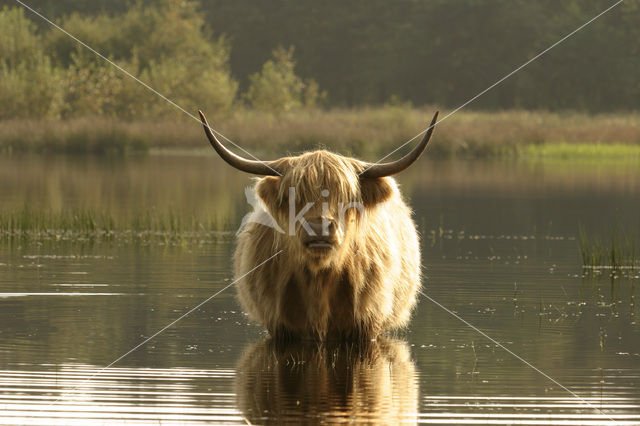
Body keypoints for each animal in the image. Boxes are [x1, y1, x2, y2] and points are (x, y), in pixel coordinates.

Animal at [198, 110, 438, 342]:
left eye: (345, 197)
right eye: (293, 197)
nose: (318, 227)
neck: (319, 278)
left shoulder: (366, 327)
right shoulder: (281, 328)